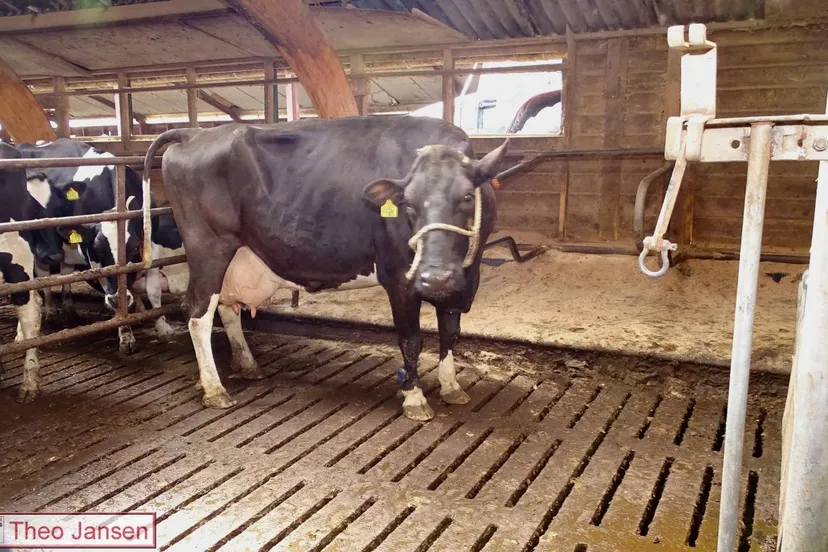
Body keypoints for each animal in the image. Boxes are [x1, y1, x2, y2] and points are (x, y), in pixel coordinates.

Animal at [16, 139, 185, 353]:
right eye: (98, 250)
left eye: (134, 249)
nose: (116, 297)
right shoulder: (94, 260)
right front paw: (126, 334)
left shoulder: (151, 246)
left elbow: (153, 290)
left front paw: (162, 325)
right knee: (43, 276)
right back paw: (51, 310)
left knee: (65, 271)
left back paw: (70, 308)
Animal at [143, 116, 509, 421]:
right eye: (408, 203)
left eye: (467, 197)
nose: (434, 276)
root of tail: (195, 132)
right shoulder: (399, 279)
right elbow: (411, 339)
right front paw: (414, 397)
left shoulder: (464, 280)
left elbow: (450, 332)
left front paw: (451, 386)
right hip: (208, 247)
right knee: (197, 314)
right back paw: (214, 388)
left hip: (236, 255)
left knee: (225, 308)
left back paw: (247, 364)